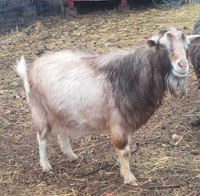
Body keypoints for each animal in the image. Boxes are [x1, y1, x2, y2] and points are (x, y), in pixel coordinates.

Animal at [15, 28, 200, 185]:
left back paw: (71, 155)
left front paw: (121, 167)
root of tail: (29, 71)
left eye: (187, 46)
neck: (131, 76)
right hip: (40, 111)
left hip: (60, 110)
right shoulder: (118, 122)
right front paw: (129, 177)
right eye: (162, 45)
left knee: (62, 132)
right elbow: (125, 150)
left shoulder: (127, 124)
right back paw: (46, 166)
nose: (183, 65)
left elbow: (125, 150)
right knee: (42, 138)